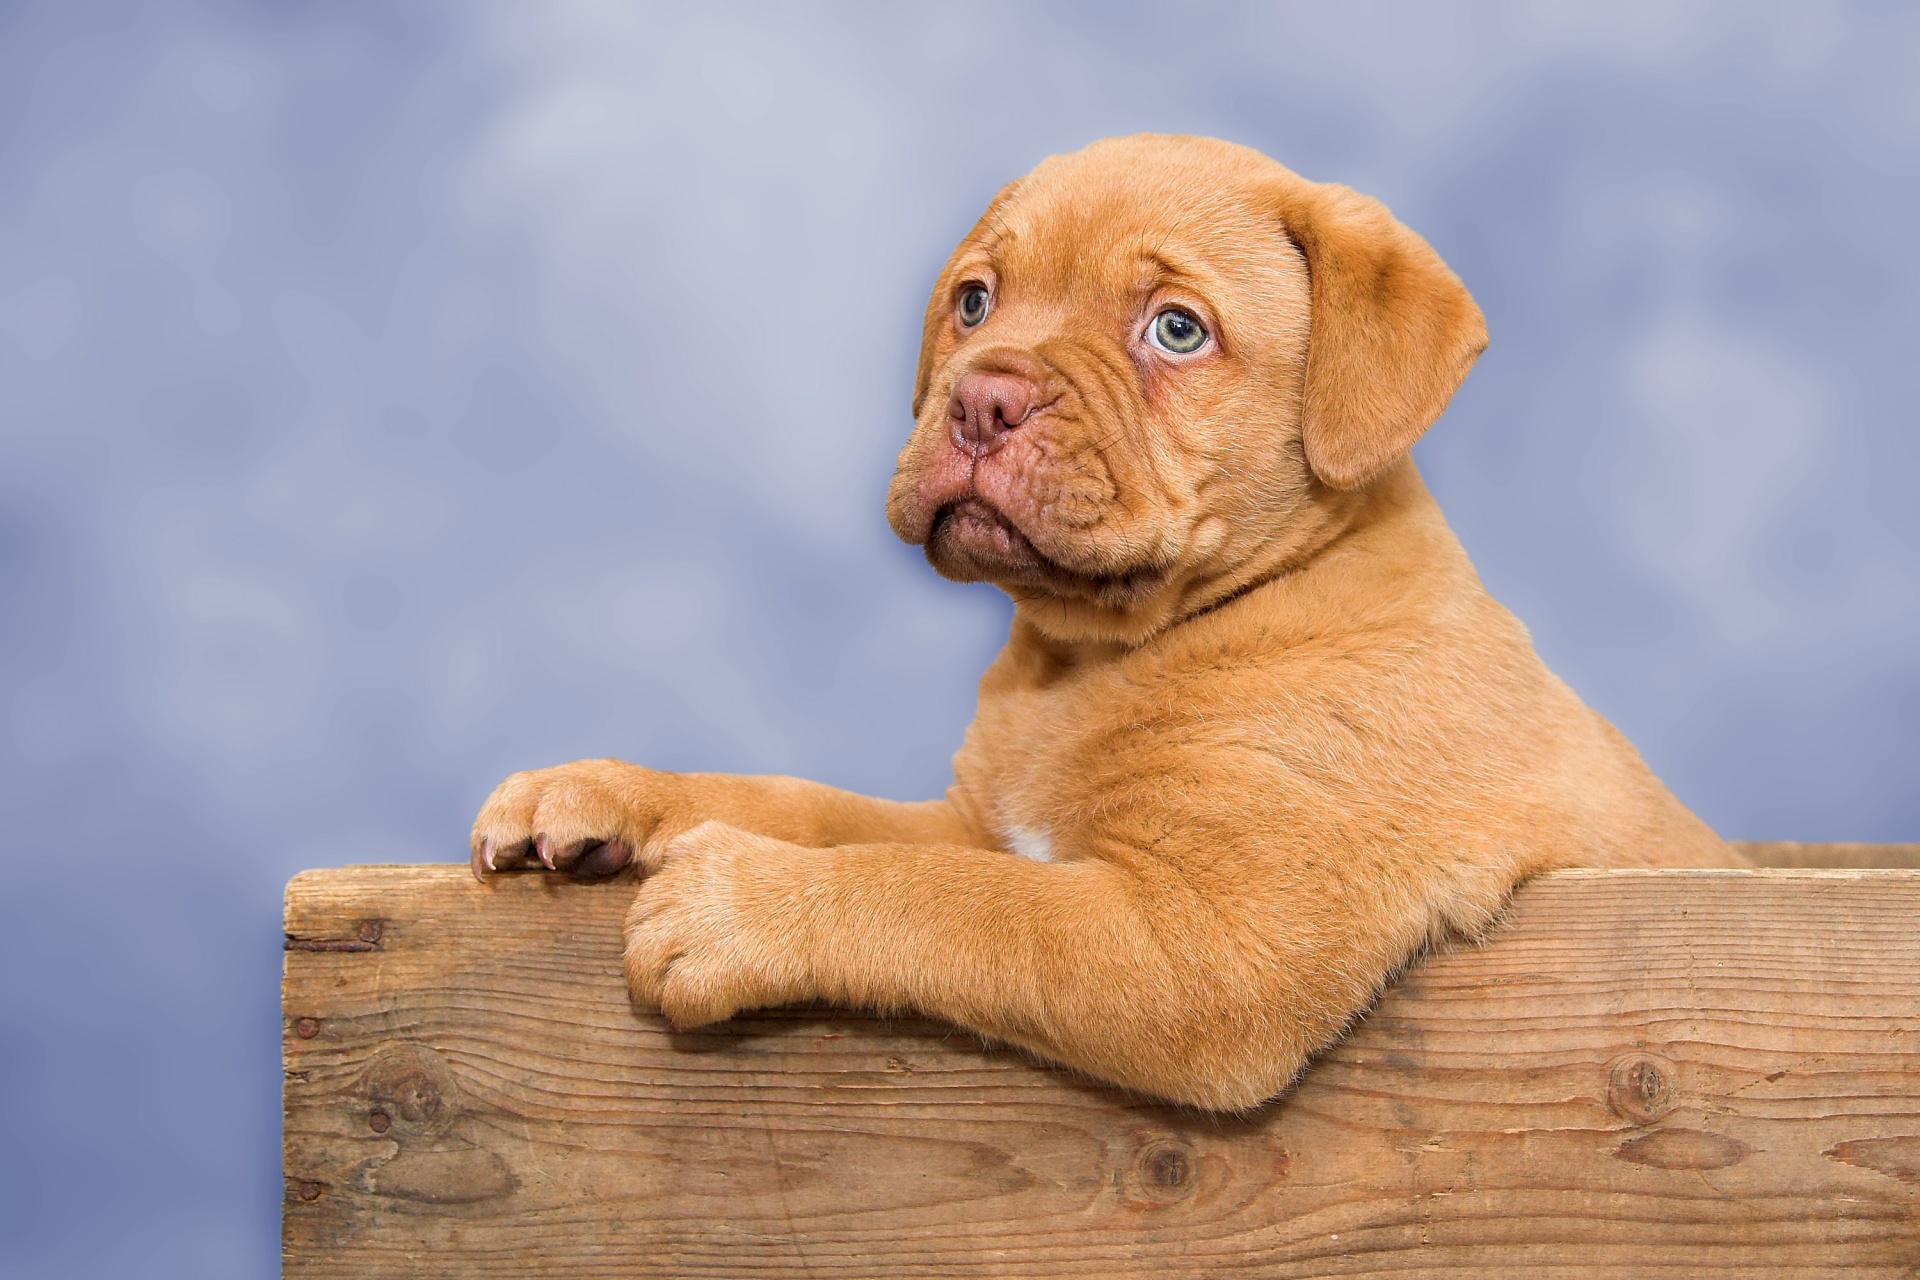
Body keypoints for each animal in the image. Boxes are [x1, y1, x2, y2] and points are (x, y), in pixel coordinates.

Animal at [472, 132, 1751, 1113]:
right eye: (975, 301)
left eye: (1176, 330)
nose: (982, 398)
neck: (1095, 655)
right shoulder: (979, 822)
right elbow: (816, 807)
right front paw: (604, 789)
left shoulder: (1208, 946)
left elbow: (956, 902)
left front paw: (738, 904)